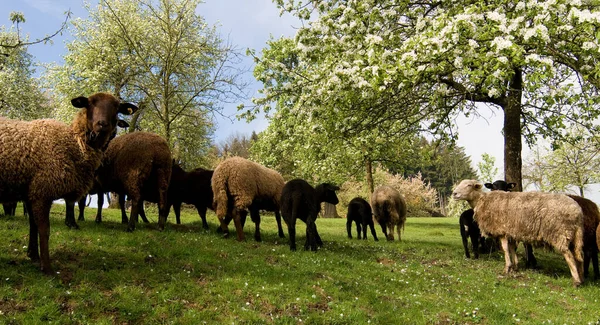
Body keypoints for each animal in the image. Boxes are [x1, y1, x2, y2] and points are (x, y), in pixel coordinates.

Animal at [0, 92, 137, 272]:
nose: (102, 124)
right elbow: (44, 230)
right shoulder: (42, 190)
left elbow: (33, 226)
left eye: (117, 107)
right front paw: (47, 267)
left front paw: (33, 255)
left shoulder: (32, 191)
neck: (73, 144)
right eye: (90, 103)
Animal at [452, 178, 584, 284]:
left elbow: (505, 249)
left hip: (560, 232)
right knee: (578, 256)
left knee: (568, 255)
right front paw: (515, 267)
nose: (454, 193)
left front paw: (507, 268)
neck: (481, 200)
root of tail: (578, 211)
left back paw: (576, 281)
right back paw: (581, 277)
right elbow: (512, 249)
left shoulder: (502, 230)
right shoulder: (511, 232)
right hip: (574, 235)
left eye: (469, 185)